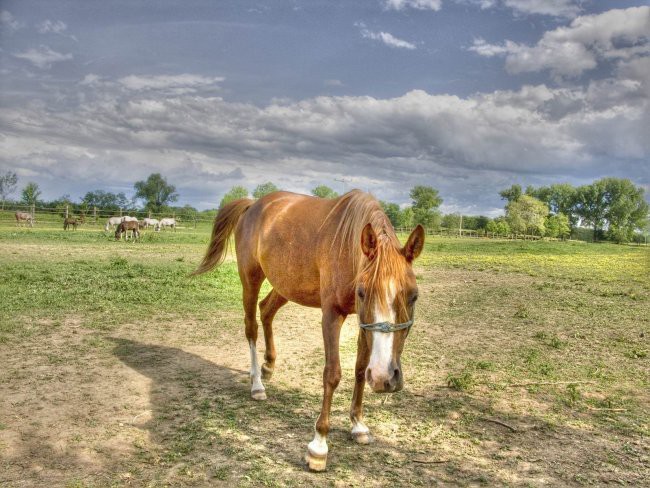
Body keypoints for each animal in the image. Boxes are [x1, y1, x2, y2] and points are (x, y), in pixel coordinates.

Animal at [194, 189, 426, 470]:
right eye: (362, 292)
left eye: (413, 296)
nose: (385, 378)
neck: (348, 248)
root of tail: (253, 205)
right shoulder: (331, 315)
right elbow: (332, 374)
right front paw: (319, 445)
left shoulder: (363, 323)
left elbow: (360, 370)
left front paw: (358, 424)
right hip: (250, 279)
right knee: (251, 327)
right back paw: (257, 384)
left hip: (285, 285)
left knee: (266, 310)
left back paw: (268, 366)